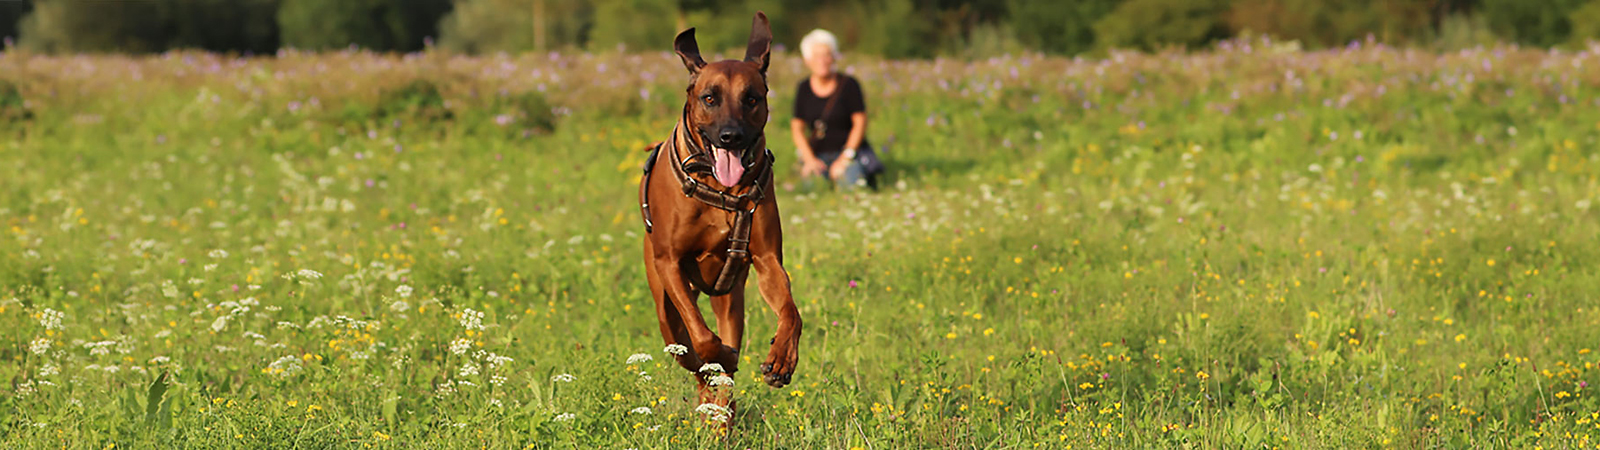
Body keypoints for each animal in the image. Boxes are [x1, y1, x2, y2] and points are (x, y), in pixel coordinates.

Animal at [636, 10, 800, 422]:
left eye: (751, 98)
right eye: (709, 98)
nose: (731, 136)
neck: (719, 187)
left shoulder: (768, 260)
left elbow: (791, 311)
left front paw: (781, 359)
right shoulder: (669, 263)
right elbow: (704, 341)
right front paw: (721, 356)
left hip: (731, 300)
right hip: (664, 308)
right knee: (690, 353)